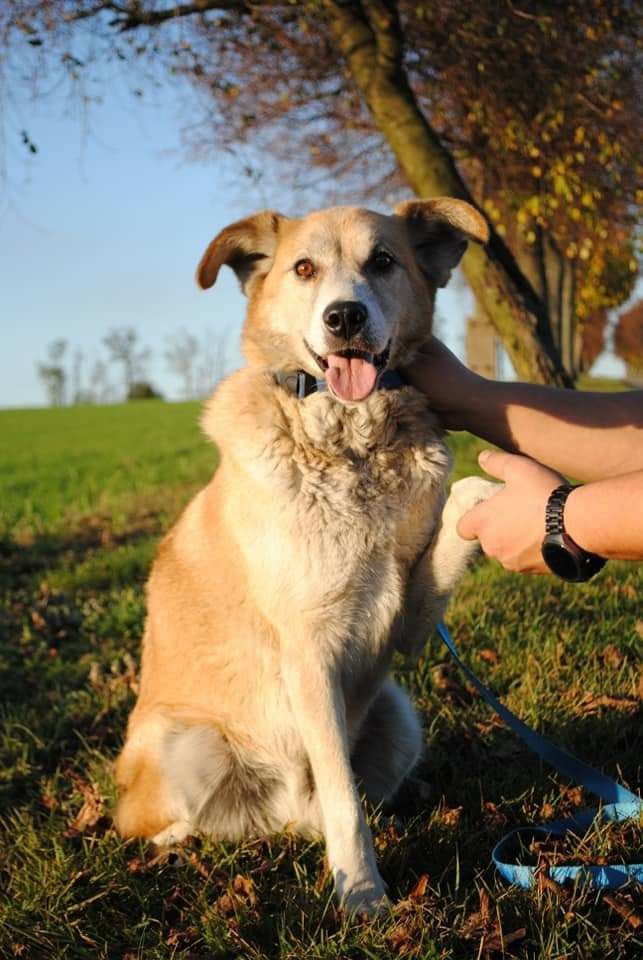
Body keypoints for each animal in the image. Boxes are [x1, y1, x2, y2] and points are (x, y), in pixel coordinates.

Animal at [114, 197, 498, 916]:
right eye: (302, 268)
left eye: (383, 261)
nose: (344, 316)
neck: (349, 446)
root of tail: (282, 818)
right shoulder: (307, 655)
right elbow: (344, 799)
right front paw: (362, 895)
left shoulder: (403, 624)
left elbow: (461, 500)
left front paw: (503, 500)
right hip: (185, 746)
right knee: (154, 822)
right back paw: (178, 845)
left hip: (399, 716)